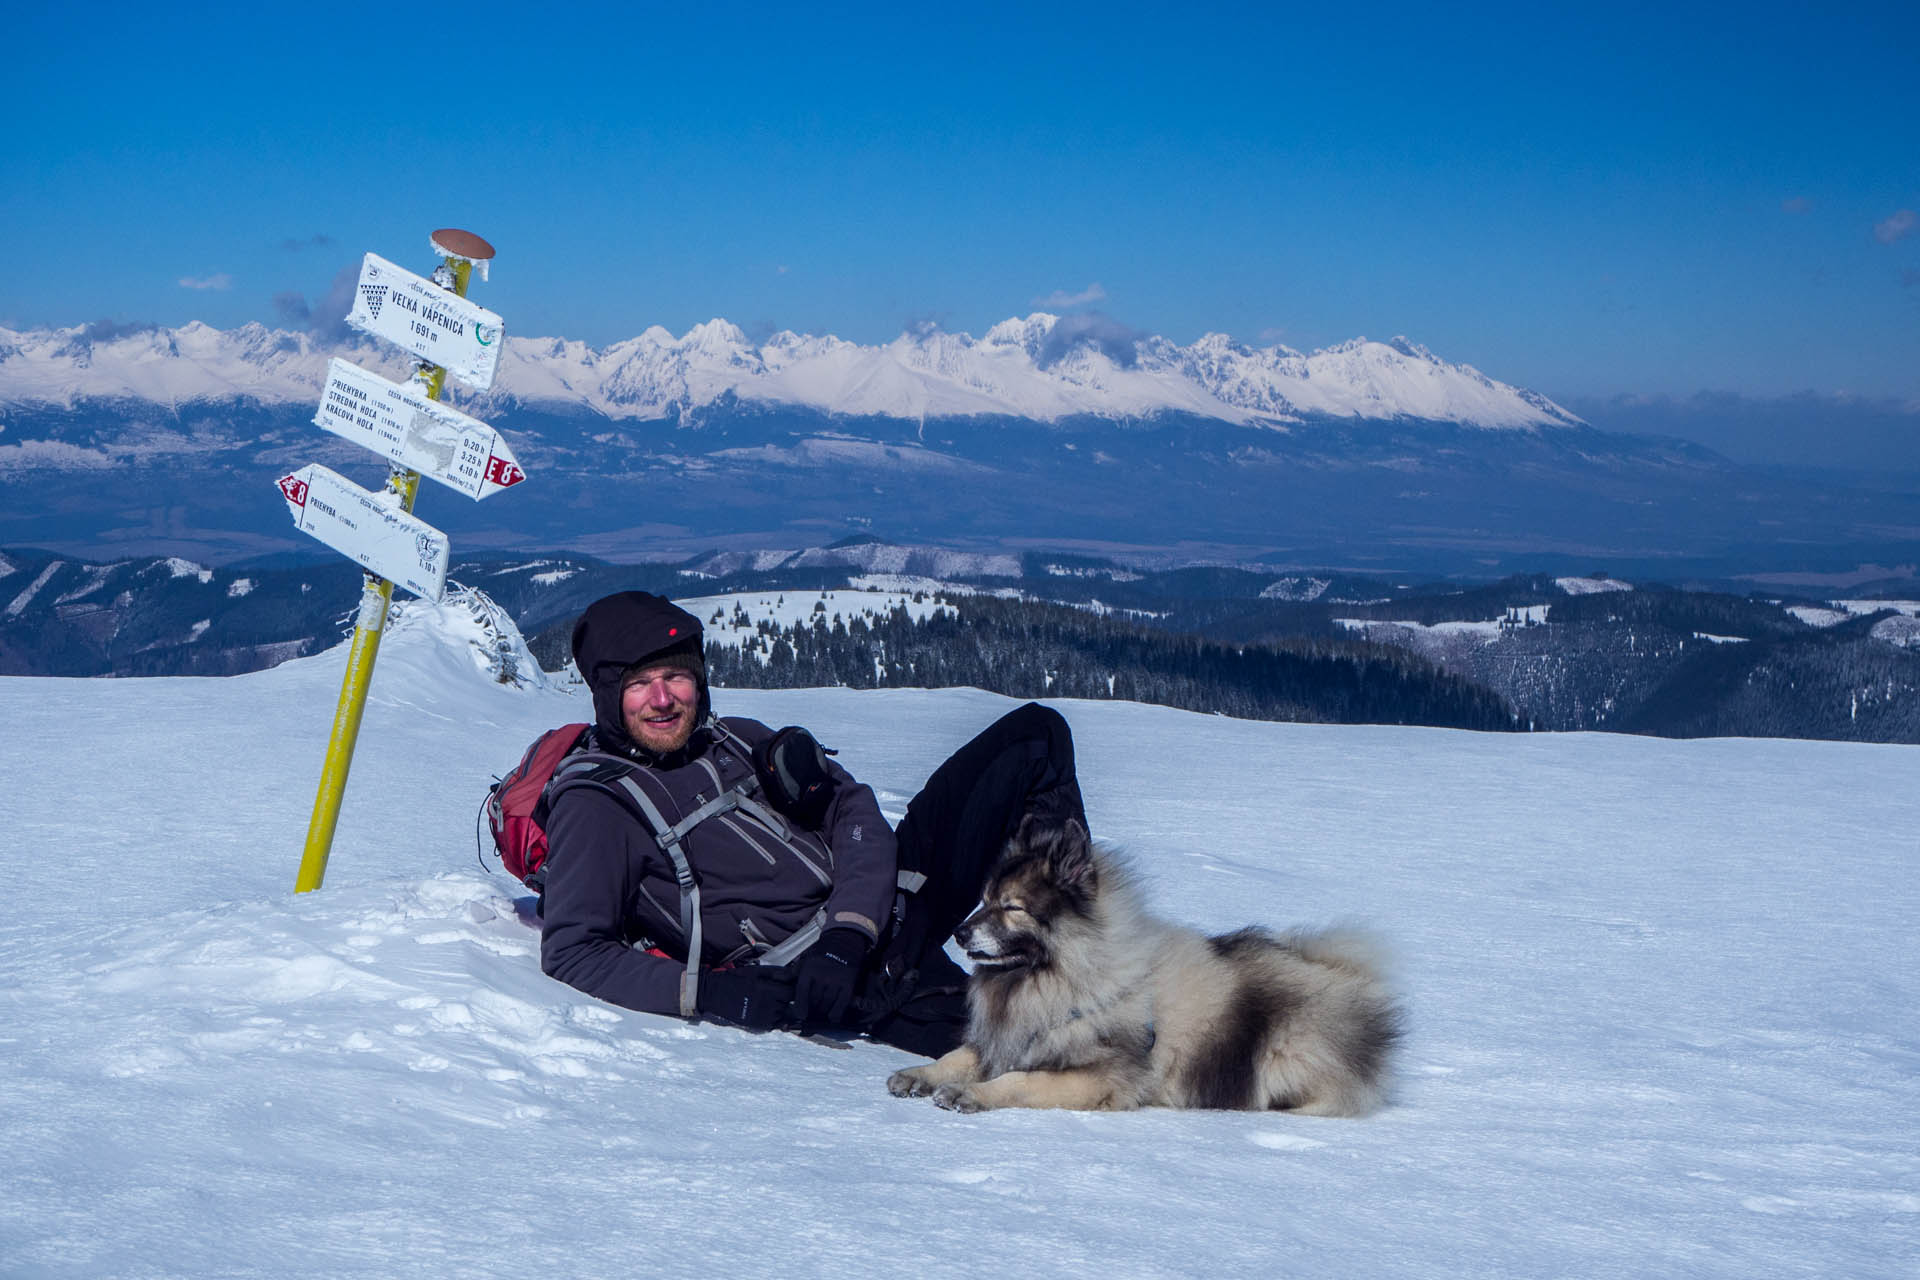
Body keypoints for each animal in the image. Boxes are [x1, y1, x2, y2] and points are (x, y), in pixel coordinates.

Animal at [890, 821, 1405, 1113]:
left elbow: (1020, 1080)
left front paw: (971, 1095)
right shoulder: (1012, 1037)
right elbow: (957, 1057)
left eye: (1013, 907)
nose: (959, 933)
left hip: (1280, 1054)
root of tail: (1355, 985)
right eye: (984, 899)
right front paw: (919, 1075)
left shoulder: (1099, 1075)